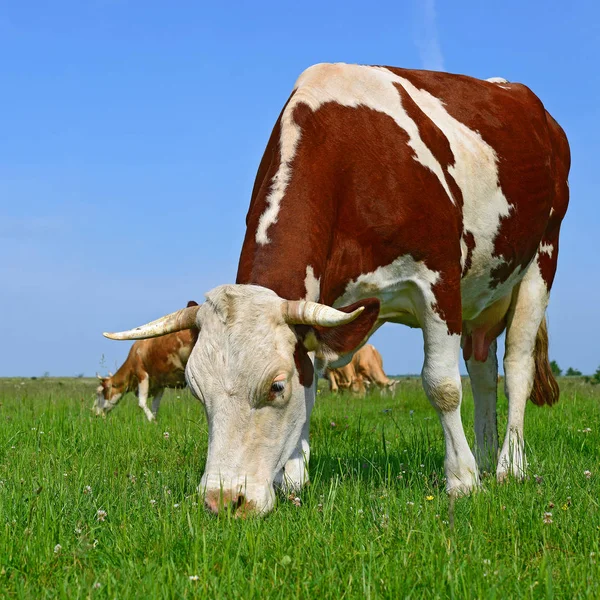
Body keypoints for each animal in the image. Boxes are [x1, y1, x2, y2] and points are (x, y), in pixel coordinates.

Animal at [105, 64, 568, 516]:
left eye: (275, 387)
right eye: (196, 390)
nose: (223, 500)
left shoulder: (438, 281)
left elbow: (442, 385)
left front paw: (463, 481)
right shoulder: (317, 307)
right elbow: (311, 386)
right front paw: (293, 478)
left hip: (540, 260)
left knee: (516, 368)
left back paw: (508, 466)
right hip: (483, 295)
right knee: (484, 370)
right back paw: (486, 456)